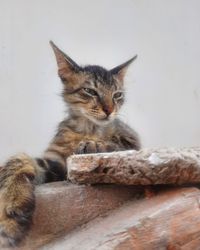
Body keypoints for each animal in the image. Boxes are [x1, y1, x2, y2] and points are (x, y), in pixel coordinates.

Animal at [0, 41, 141, 246]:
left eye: (117, 95)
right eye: (90, 91)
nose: (109, 110)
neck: (88, 128)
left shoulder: (132, 142)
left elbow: (115, 145)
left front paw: (94, 145)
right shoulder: (56, 163)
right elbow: (17, 160)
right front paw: (11, 207)